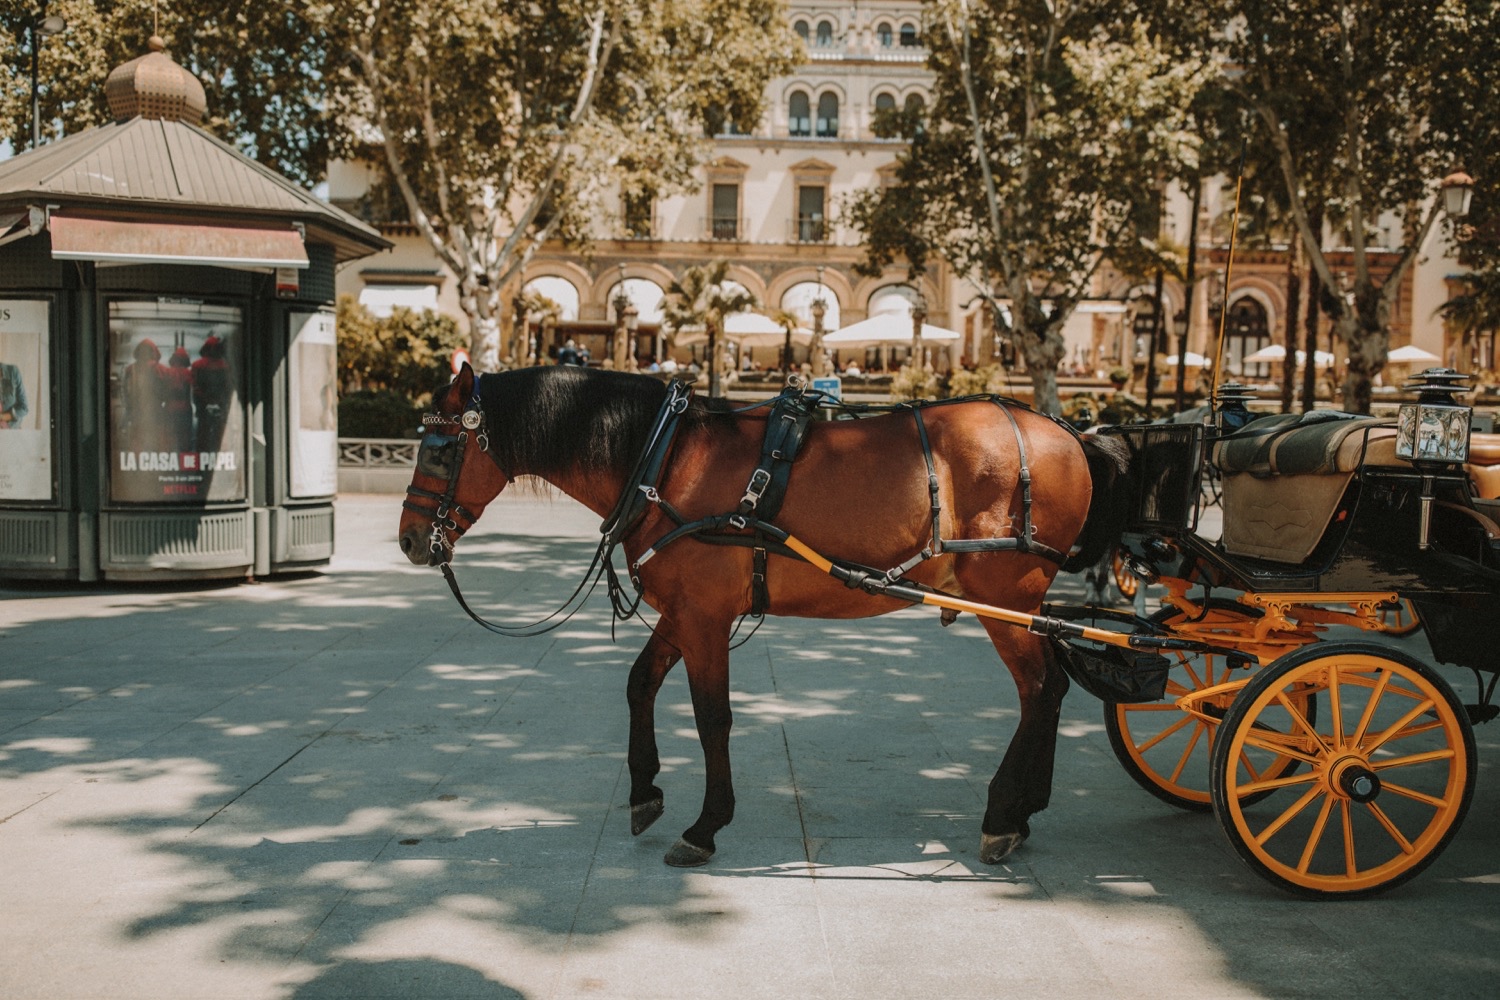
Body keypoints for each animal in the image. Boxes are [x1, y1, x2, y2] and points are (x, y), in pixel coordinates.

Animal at [399, 365, 1128, 869]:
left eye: (438, 450)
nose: (408, 540)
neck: (665, 458)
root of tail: (1071, 432)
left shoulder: (705, 619)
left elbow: (711, 717)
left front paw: (705, 825)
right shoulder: (686, 612)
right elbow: (639, 685)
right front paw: (645, 791)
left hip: (1007, 600)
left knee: (1040, 688)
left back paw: (1004, 812)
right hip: (1021, 607)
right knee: (1051, 689)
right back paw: (1025, 810)